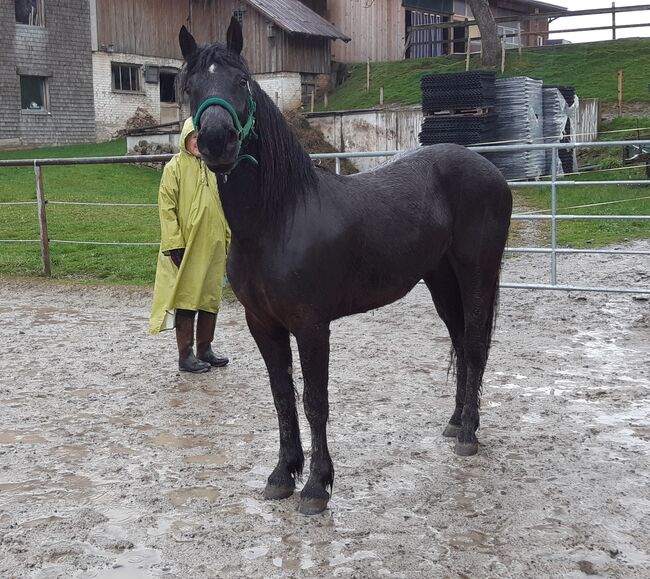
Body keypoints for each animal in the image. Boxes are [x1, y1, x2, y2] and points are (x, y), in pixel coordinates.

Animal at [177, 19, 512, 516]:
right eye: (189, 86)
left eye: (241, 81)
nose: (218, 140)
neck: (278, 219)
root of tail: (490, 170)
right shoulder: (263, 324)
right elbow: (282, 396)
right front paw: (282, 474)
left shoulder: (312, 326)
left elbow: (315, 401)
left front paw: (317, 486)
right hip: (440, 279)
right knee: (458, 342)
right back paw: (454, 423)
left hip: (477, 272)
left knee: (473, 345)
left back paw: (468, 434)